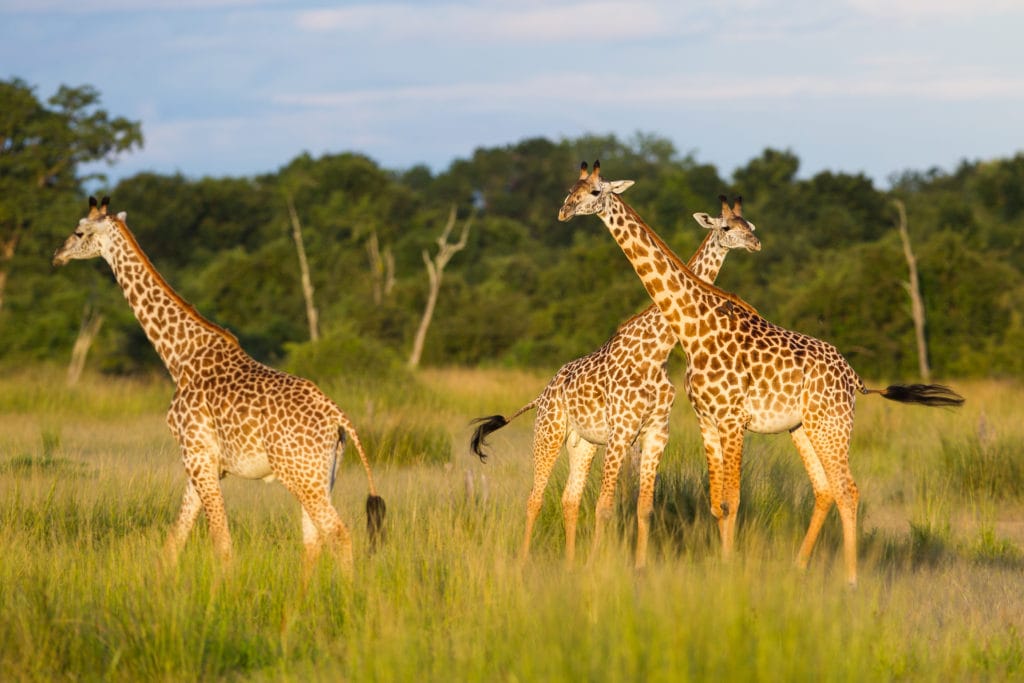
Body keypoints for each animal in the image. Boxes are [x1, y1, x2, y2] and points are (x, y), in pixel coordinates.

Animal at [50, 198, 385, 577]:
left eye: (79, 232)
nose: (57, 255)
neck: (180, 357)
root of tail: (339, 418)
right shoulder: (204, 462)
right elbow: (175, 541)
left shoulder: (196, 454)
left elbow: (221, 544)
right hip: (321, 475)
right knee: (312, 541)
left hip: (301, 475)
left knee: (338, 533)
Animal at [471, 198, 761, 573]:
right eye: (727, 227)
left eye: (749, 224)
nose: (755, 243)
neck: (660, 342)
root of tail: (542, 394)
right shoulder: (623, 431)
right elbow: (610, 503)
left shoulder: (648, 431)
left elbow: (638, 503)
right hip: (549, 432)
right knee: (535, 497)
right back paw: (523, 562)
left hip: (582, 443)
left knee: (569, 498)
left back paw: (570, 563)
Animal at [557, 162, 962, 585]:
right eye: (572, 189)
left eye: (595, 191)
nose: (564, 211)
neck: (693, 327)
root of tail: (855, 379)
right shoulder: (707, 420)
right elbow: (717, 502)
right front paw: (721, 565)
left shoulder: (733, 419)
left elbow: (733, 500)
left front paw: (731, 568)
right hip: (803, 428)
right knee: (825, 490)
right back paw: (798, 567)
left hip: (833, 424)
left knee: (848, 489)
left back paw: (850, 579)